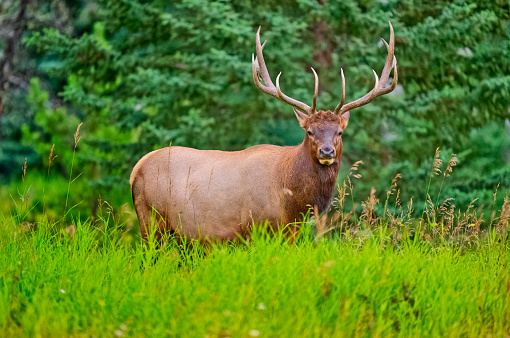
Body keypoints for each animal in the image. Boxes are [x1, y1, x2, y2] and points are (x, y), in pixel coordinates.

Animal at [128, 21, 398, 240]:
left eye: (339, 133)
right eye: (309, 131)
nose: (327, 152)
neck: (293, 202)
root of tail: (135, 170)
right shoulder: (257, 227)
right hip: (152, 220)